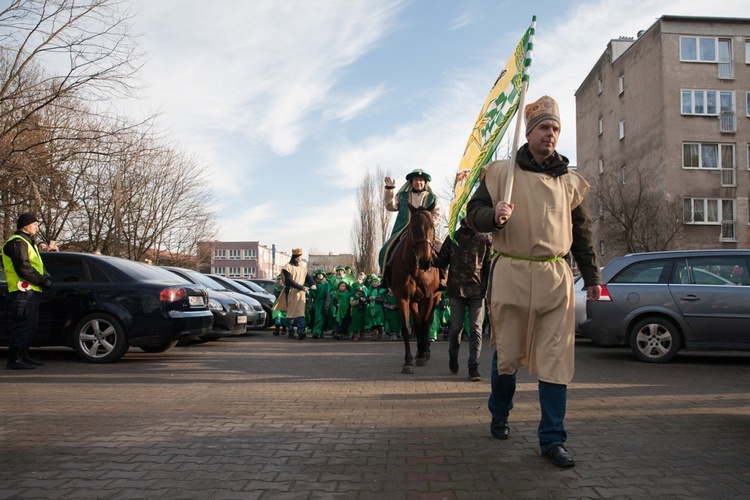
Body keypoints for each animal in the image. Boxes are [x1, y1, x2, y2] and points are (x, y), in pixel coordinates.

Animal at [390, 205, 444, 374]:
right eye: (413, 227)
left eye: (432, 227)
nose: (425, 261)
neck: (415, 270)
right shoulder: (402, 297)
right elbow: (407, 328)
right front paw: (408, 361)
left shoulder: (428, 297)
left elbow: (425, 325)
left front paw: (422, 355)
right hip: (414, 301)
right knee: (418, 321)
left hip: (436, 298)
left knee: (427, 322)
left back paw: (425, 350)